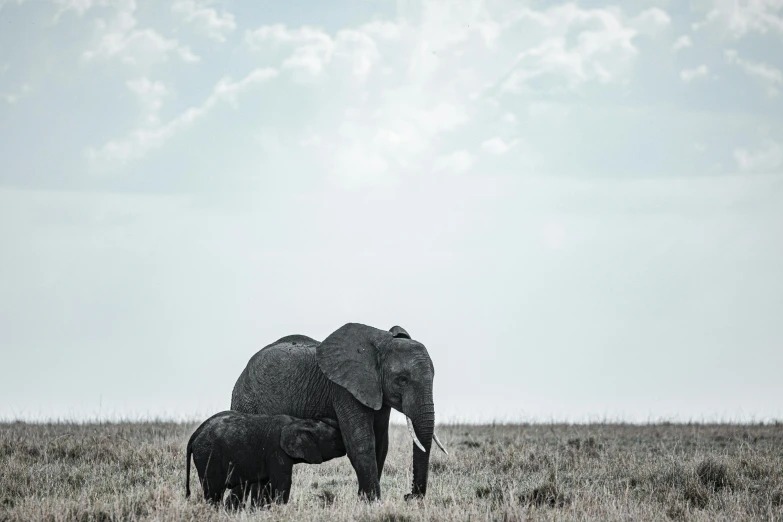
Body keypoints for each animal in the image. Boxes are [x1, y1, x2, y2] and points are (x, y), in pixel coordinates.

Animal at [185, 410, 344, 504]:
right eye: (335, 438)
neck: (298, 421)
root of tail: (195, 433)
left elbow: (264, 485)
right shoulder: (276, 450)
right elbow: (282, 482)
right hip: (208, 454)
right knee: (214, 491)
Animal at [228, 320, 448, 500]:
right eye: (402, 380)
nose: (409, 496)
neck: (380, 343)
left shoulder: (377, 393)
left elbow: (381, 443)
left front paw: (364, 501)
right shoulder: (344, 391)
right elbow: (361, 442)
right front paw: (373, 502)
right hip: (246, 401)